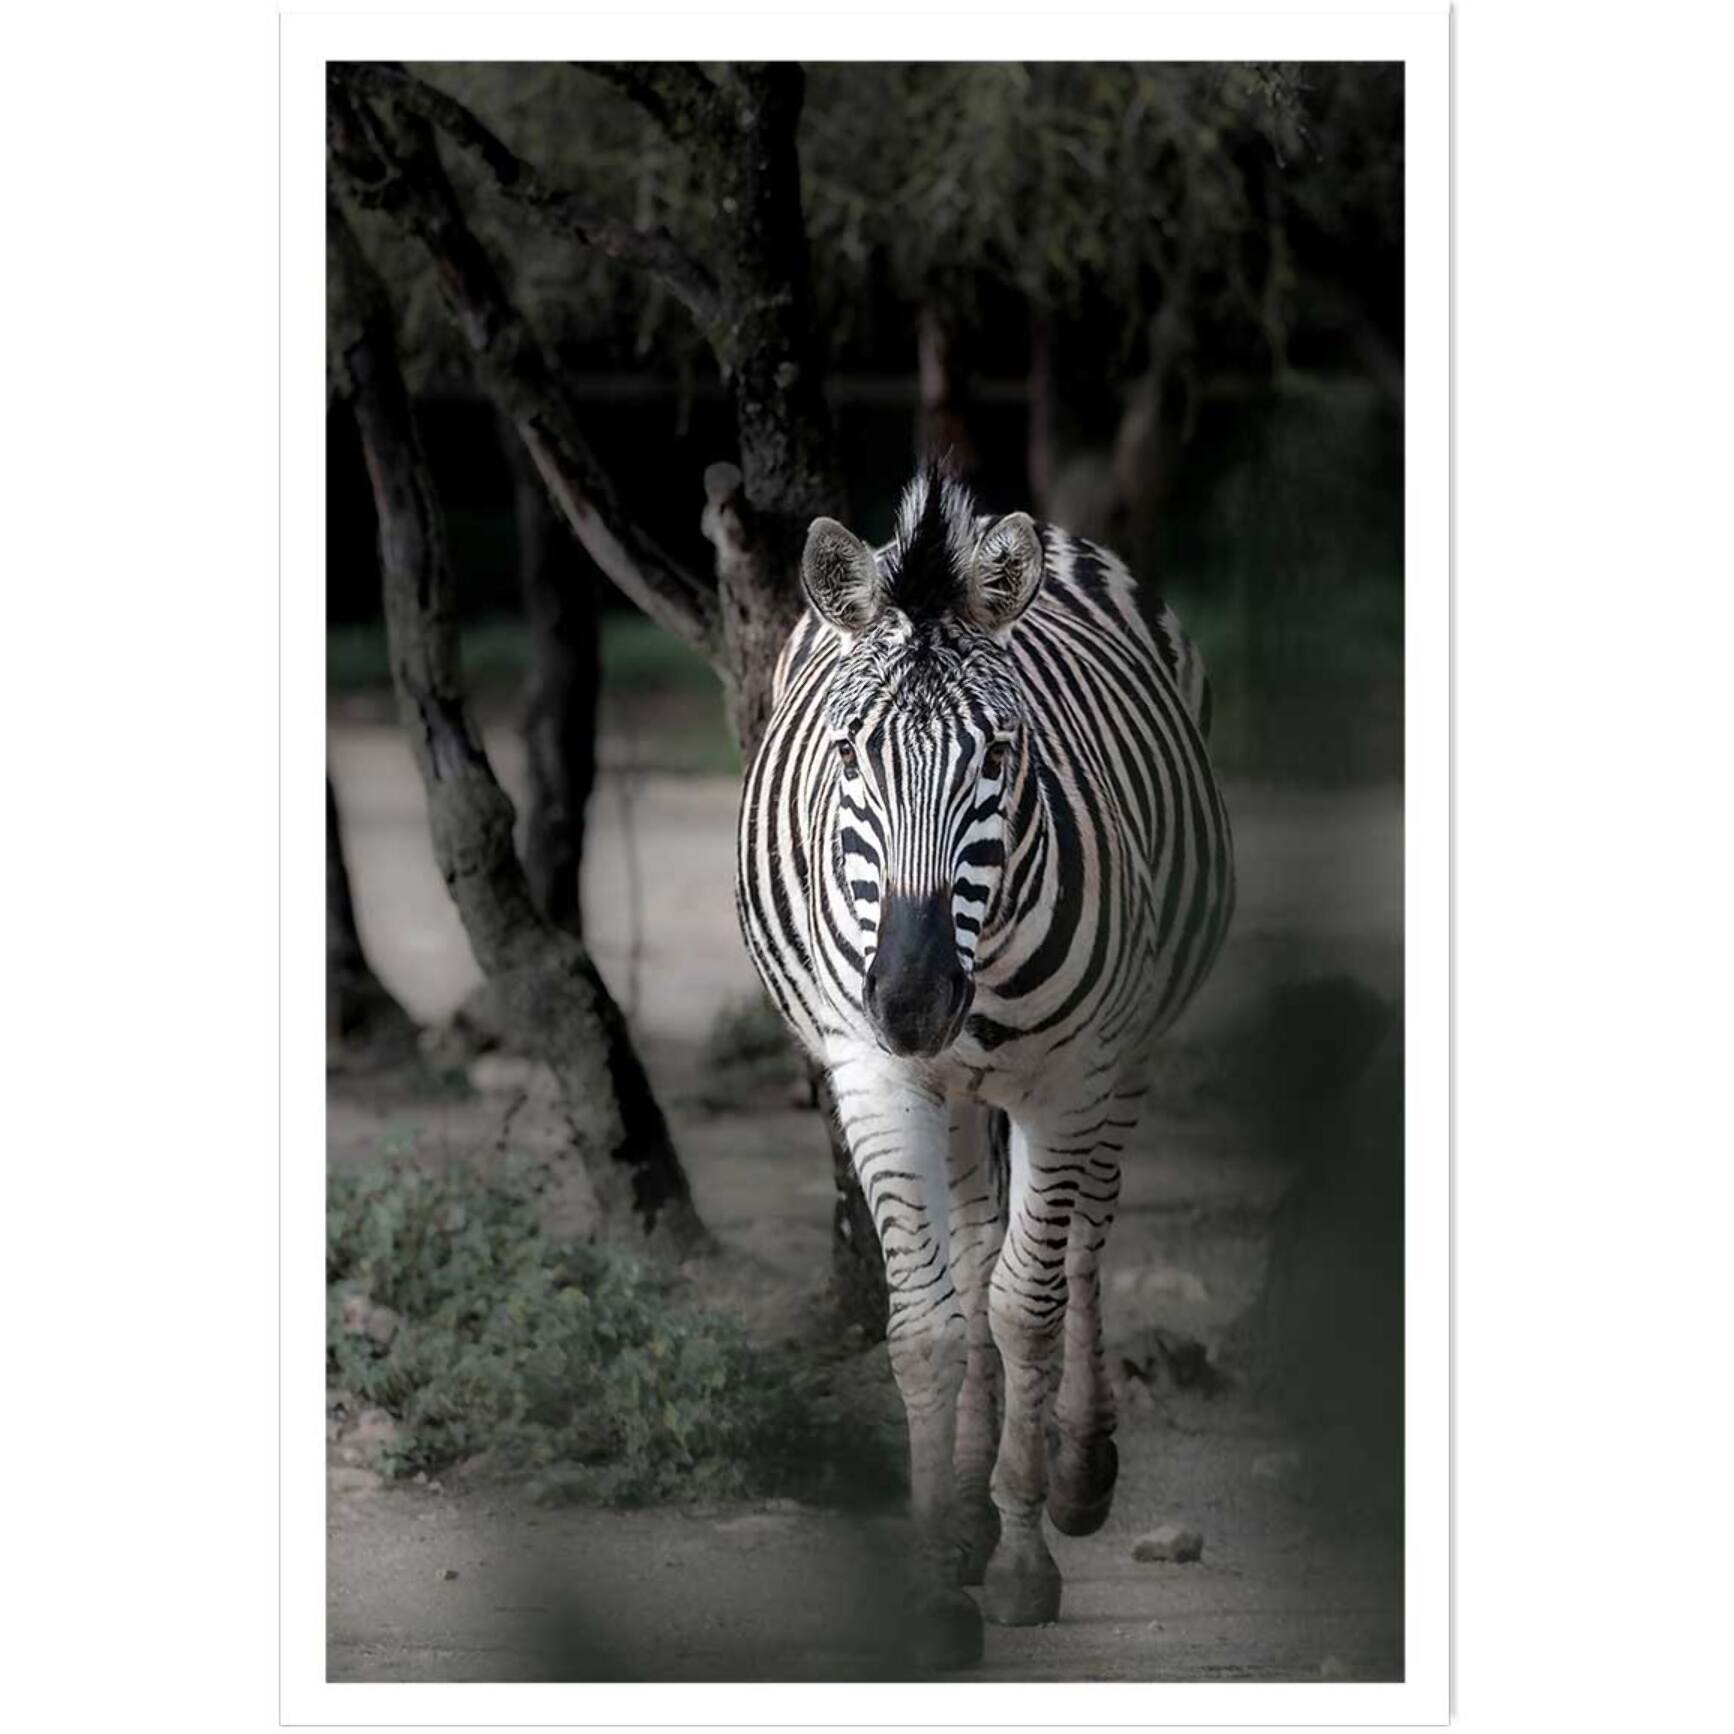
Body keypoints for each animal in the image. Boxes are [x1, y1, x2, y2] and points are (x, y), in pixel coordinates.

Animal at [735, 462, 1235, 1668]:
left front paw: (1020, 1561)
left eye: (1000, 759)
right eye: (848, 756)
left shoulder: (1070, 1079)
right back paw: (963, 1509)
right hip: (953, 1093)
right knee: (968, 1250)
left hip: (1129, 1052)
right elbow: (927, 1328)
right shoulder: (875, 1073)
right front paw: (935, 1577)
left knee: (1086, 1239)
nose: (915, 999)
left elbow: (1028, 1310)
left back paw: (1077, 1473)